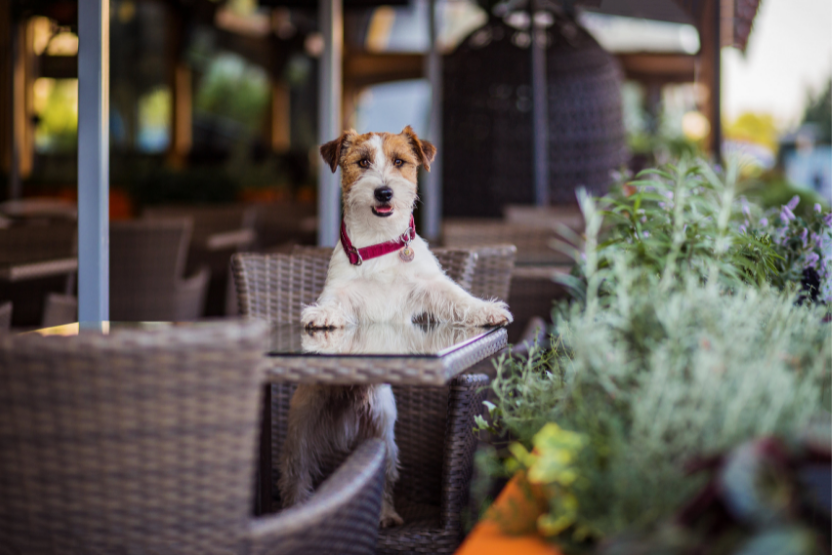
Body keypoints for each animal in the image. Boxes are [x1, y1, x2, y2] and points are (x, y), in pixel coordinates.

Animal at [280, 127, 510, 528]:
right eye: (363, 162)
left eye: (400, 161)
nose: (384, 192)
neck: (380, 243)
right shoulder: (342, 291)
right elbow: (334, 303)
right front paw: (321, 315)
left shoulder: (431, 286)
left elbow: (459, 296)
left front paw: (488, 309)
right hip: (302, 429)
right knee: (297, 475)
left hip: (383, 429)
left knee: (383, 475)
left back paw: (385, 513)